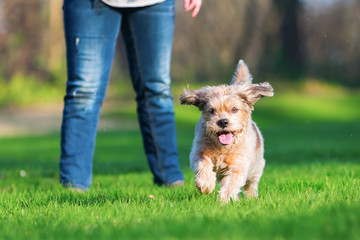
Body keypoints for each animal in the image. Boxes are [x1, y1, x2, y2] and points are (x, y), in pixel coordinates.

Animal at [180, 60, 272, 202]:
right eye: (211, 110)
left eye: (234, 109)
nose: (222, 122)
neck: (223, 149)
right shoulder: (198, 152)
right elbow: (203, 164)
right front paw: (205, 184)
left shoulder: (238, 165)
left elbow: (231, 183)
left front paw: (224, 201)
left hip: (256, 167)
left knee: (250, 184)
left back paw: (251, 198)